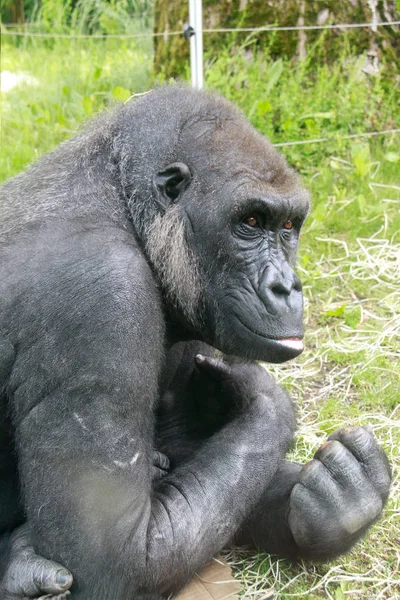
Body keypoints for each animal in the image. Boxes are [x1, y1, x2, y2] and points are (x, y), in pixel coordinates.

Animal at [0, 85, 390, 600]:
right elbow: (121, 557)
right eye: (250, 221)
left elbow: (187, 448)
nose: (287, 286)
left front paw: (333, 505)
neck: (127, 208)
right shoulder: (99, 301)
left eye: (287, 228)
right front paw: (267, 400)